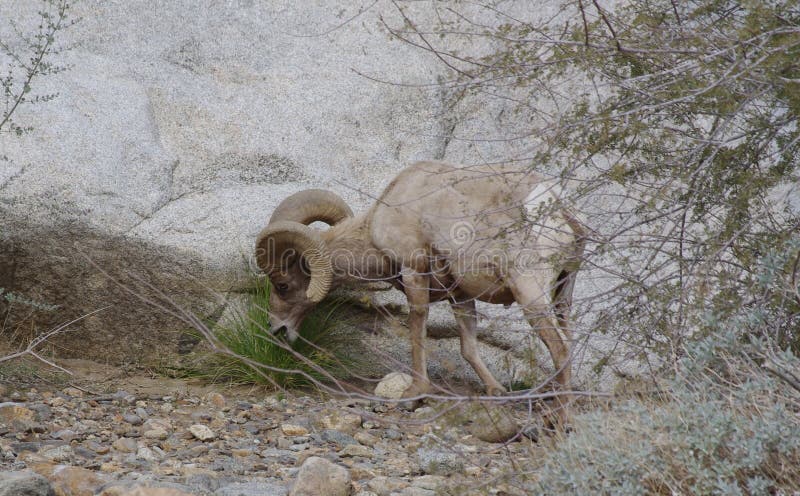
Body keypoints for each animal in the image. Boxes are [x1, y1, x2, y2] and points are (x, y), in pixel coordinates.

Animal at [258, 162, 588, 422]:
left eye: (283, 286)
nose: (276, 329)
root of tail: (559, 210)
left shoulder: (414, 274)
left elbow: (417, 331)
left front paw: (414, 394)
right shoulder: (461, 296)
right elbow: (468, 347)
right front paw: (496, 392)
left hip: (531, 295)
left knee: (560, 350)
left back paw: (563, 420)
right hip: (562, 297)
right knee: (568, 342)